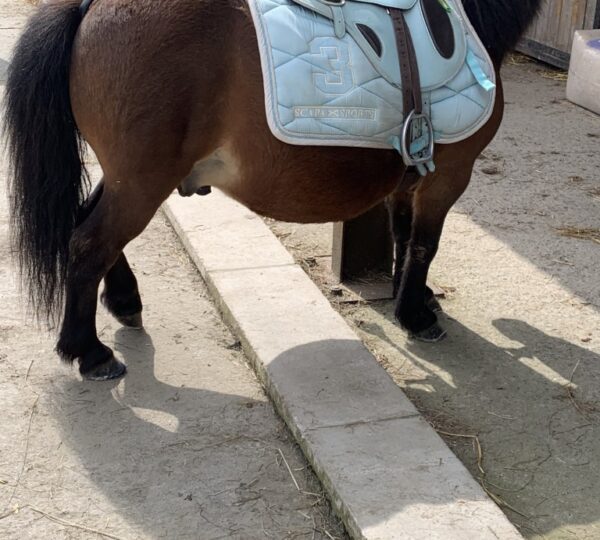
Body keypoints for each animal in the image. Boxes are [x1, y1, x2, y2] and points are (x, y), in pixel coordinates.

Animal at [2, 0, 540, 380]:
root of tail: (89, 8)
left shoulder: (411, 176)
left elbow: (405, 238)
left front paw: (416, 297)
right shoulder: (448, 175)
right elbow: (426, 244)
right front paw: (415, 315)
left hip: (127, 178)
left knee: (90, 229)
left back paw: (125, 302)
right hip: (141, 181)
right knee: (89, 243)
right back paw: (90, 353)